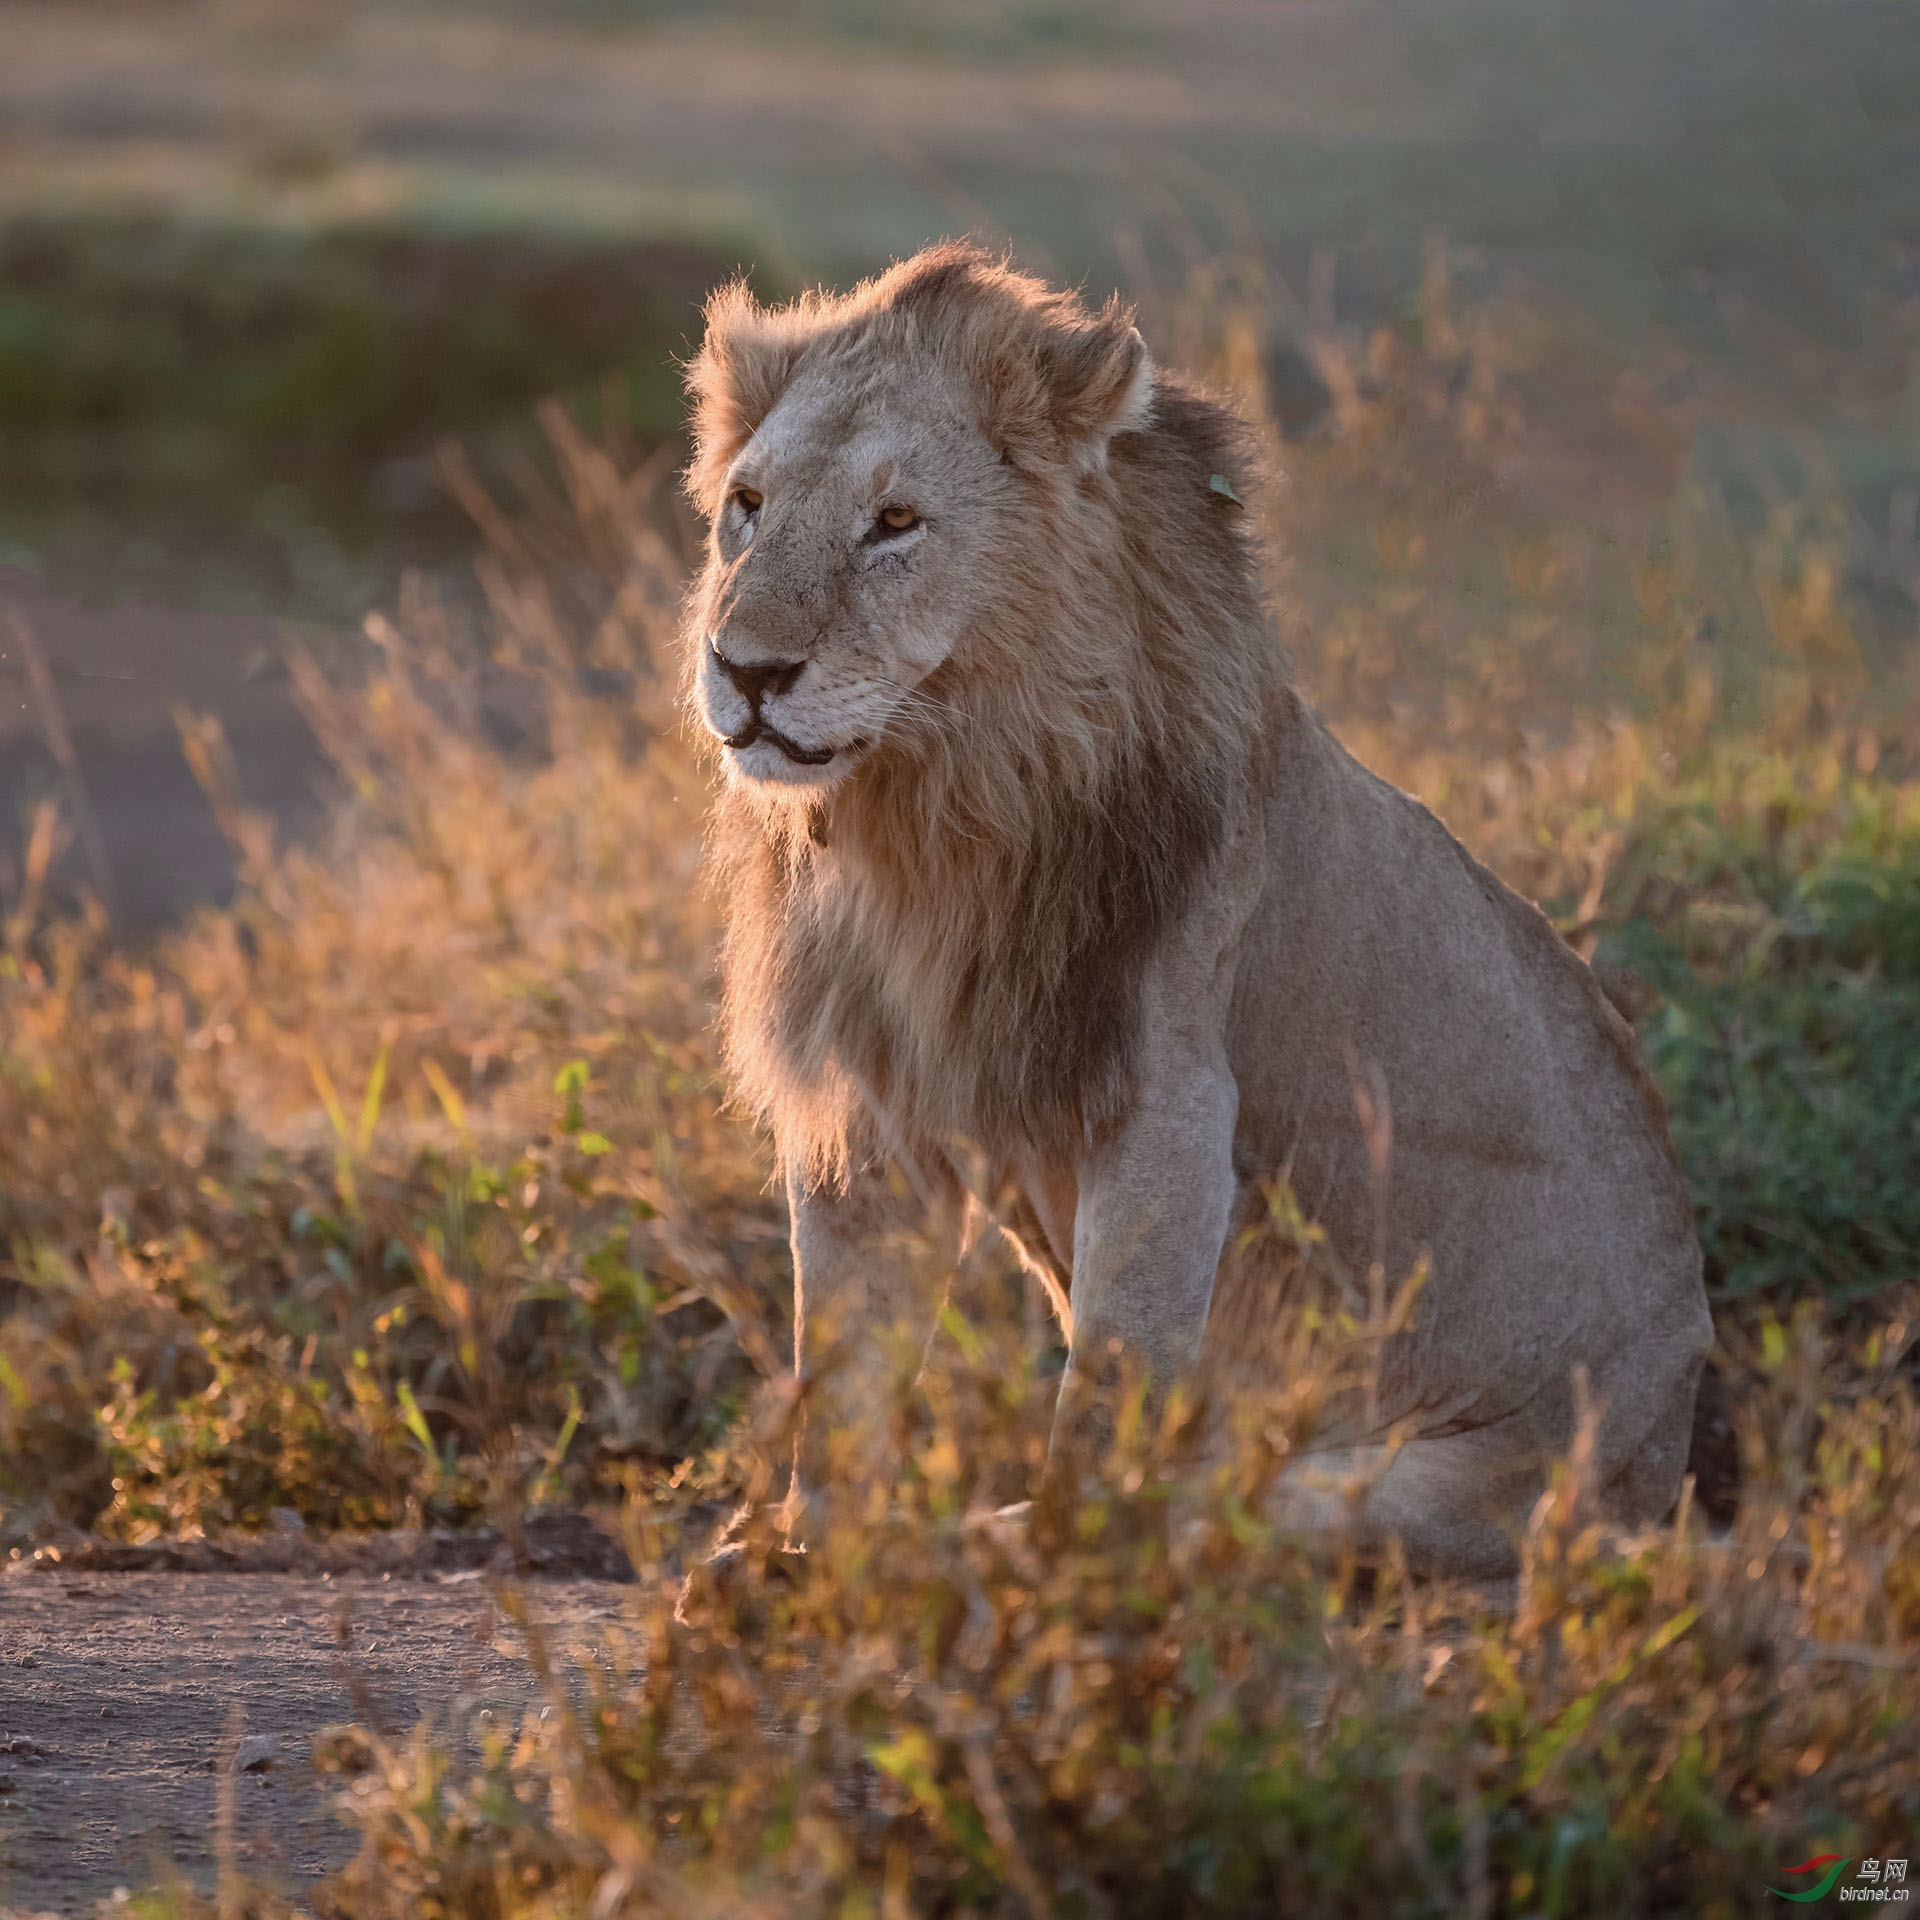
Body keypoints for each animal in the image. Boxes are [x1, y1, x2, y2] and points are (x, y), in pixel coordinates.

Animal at [687, 240, 1712, 1574]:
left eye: (895, 524)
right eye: (747, 507)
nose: (746, 669)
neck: (930, 812)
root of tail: (1666, 1465)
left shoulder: (1170, 1095)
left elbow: (1110, 1376)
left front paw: (1053, 1576)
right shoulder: (867, 1097)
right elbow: (842, 1358)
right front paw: (812, 1555)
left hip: (1392, 1488)